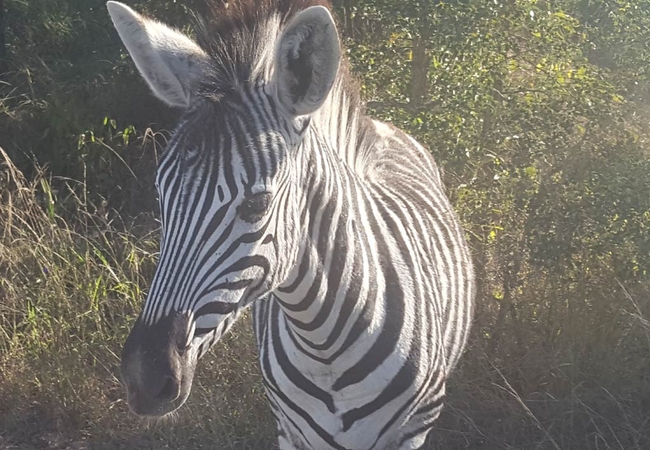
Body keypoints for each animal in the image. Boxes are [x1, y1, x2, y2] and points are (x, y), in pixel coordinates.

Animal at [105, 1, 470, 448]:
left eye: (257, 203)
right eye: (161, 193)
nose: (143, 381)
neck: (323, 344)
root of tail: (383, 129)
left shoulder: (411, 431)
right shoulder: (290, 429)